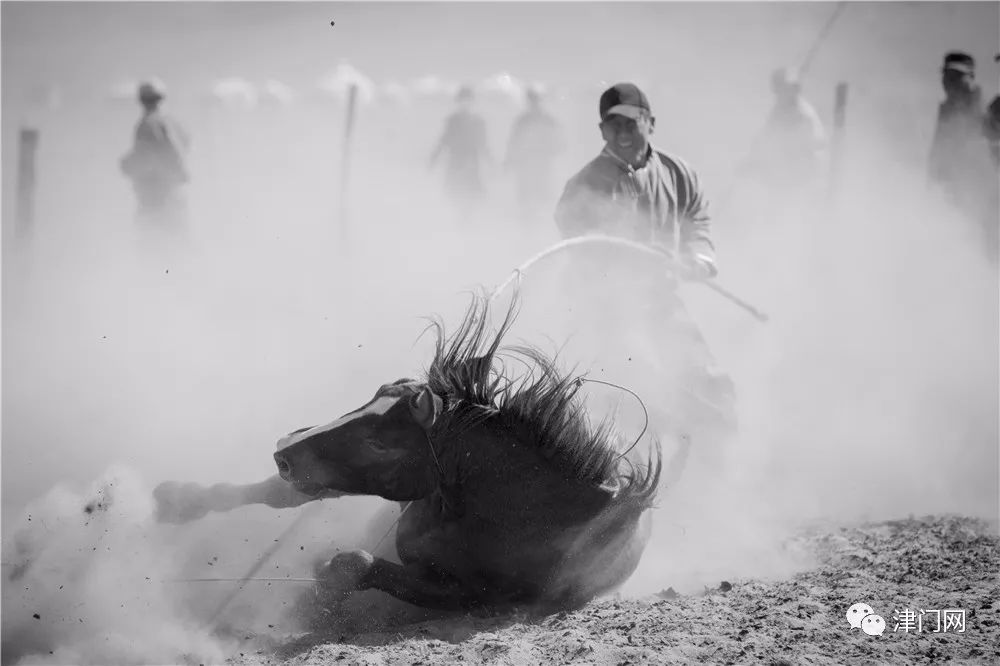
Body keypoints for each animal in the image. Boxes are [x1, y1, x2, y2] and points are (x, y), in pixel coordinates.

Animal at [152, 296, 660, 612]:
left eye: (380, 442)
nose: (282, 450)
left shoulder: (475, 599)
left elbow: (354, 564)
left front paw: (315, 599)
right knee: (289, 493)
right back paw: (177, 499)